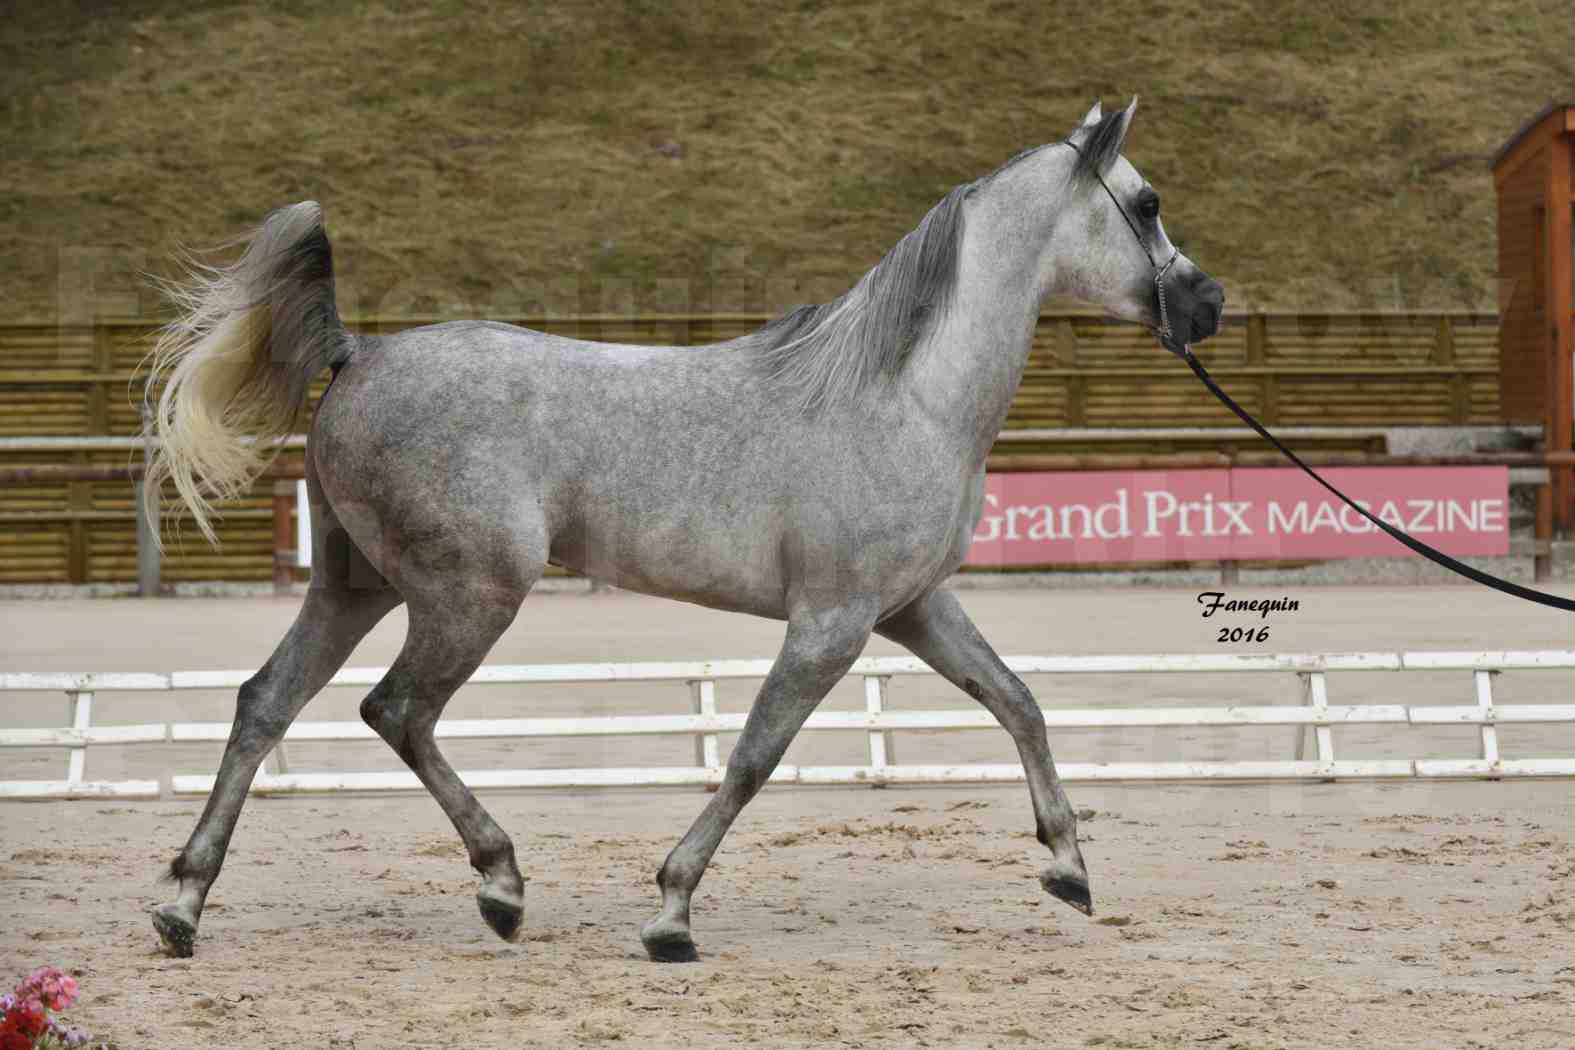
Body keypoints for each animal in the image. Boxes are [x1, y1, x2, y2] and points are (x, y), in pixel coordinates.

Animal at [148, 98, 1222, 963]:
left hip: (354, 587)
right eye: (1148, 202)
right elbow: (752, 756)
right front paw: (671, 913)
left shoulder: (911, 608)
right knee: (397, 712)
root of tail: (358, 351)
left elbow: (1017, 702)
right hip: (469, 596)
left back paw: (184, 905)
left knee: (265, 704)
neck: (904, 396)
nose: (1207, 302)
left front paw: (1067, 865)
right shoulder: (831, 624)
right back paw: (500, 884)